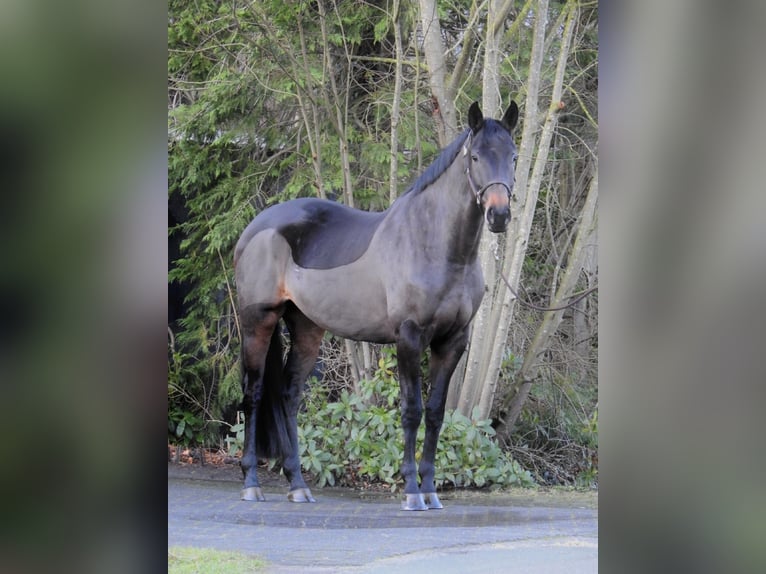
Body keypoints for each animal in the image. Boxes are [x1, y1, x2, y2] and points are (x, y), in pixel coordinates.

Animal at [234, 100, 520, 512]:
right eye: (476, 156)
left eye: (513, 156)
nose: (499, 215)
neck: (437, 246)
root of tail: (255, 227)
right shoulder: (410, 338)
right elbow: (412, 410)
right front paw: (412, 491)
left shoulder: (453, 342)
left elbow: (436, 413)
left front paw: (430, 490)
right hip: (259, 320)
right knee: (254, 392)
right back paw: (252, 482)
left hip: (306, 327)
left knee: (289, 395)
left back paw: (298, 484)